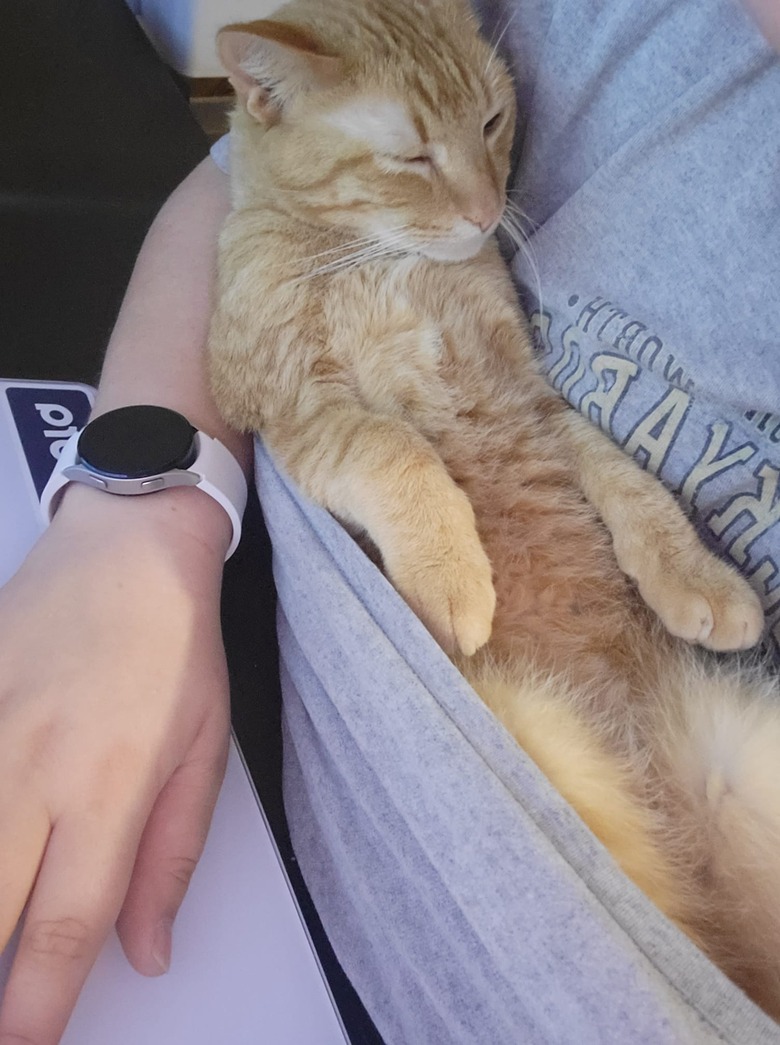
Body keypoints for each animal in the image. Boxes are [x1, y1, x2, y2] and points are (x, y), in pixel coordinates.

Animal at [207, 0, 777, 1019]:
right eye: (411, 156)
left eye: (492, 124)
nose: (484, 213)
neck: (383, 258)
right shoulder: (291, 409)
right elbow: (395, 447)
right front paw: (450, 571)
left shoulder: (535, 398)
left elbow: (624, 477)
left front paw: (696, 576)